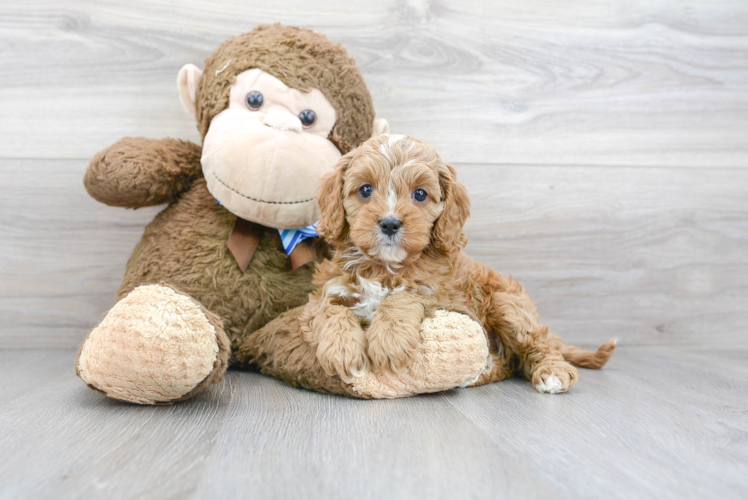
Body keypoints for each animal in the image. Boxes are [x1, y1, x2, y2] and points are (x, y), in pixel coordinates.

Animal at [300, 135, 616, 392]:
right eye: (365, 190)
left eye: (419, 194)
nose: (390, 224)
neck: (385, 267)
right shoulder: (327, 291)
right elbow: (332, 310)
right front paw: (341, 349)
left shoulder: (443, 296)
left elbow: (402, 297)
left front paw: (389, 342)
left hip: (506, 304)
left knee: (537, 344)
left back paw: (552, 373)